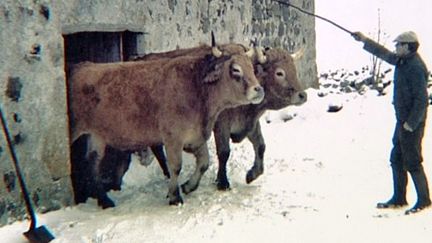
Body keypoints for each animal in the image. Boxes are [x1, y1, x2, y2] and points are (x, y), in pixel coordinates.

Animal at [69, 45, 264, 207]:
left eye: (252, 68)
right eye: (236, 70)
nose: (259, 89)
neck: (197, 90)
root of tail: (80, 66)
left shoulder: (196, 136)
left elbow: (204, 162)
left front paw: (188, 186)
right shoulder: (173, 138)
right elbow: (176, 166)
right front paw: (174, 196)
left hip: (96, 135)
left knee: (92, 162)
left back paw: (104, 200)